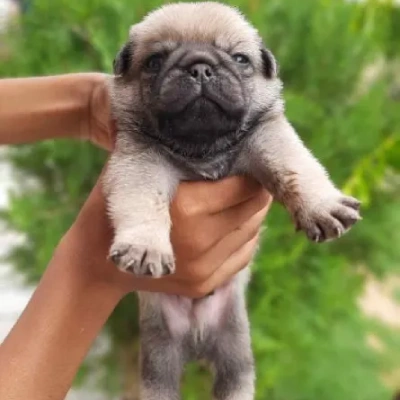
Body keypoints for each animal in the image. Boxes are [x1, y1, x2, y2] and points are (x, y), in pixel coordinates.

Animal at [104, 1, 362, 398]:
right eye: (154, 62)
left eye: (240, 59)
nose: (199, 67)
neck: (202, 147)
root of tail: (196, 338)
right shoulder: (140, 163)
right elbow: (144, 203)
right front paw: (145, 245)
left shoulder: (269, 137)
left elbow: (296, 167)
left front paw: (321, 205)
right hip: (160, 358)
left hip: (235, 347)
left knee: (236, 379)